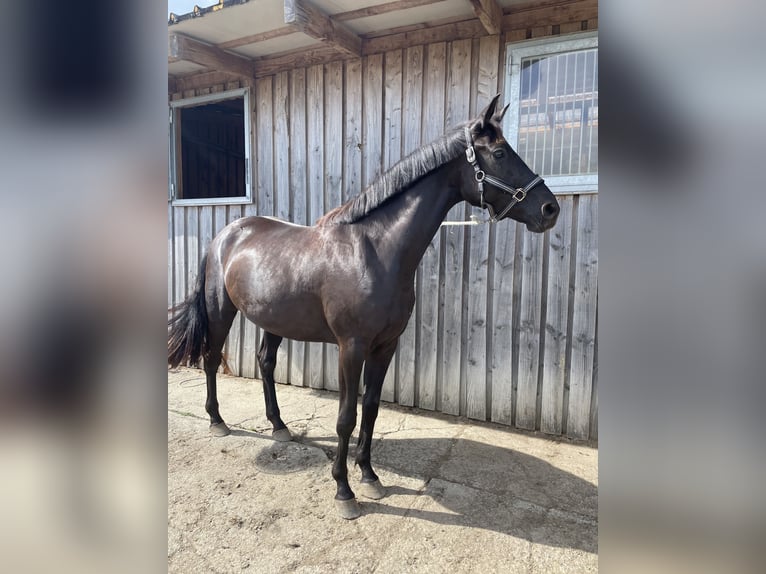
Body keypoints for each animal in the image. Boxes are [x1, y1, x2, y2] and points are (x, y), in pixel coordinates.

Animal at [168, 95, 560, 520]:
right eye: (501, 153)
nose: (550, 209)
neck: (376, 250)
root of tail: (225, 235)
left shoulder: (386, 346)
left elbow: (370, 409)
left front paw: (370, 476)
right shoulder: (351, 347)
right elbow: (346, 417)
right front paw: (344, 490)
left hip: (274, 320)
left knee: (266, 363)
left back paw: (279, 427)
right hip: (221, 311)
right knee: (210, 358)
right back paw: (217, 420)